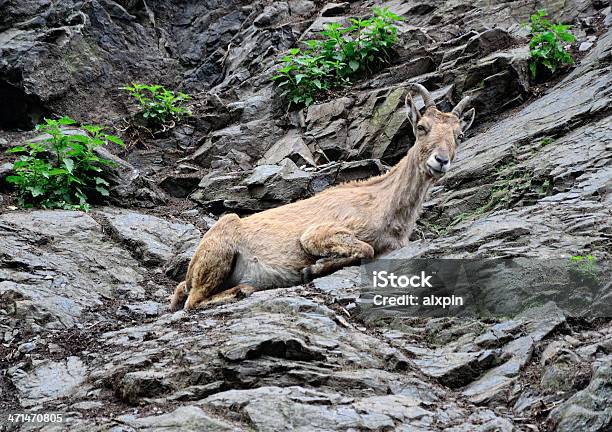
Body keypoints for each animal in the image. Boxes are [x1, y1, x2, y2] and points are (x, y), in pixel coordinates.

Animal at [170, 83, 476, 310]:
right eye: (421, 127)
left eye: (459, 134)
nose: (441, 161)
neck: (383, 203)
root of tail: (191, 271)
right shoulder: (318, 233)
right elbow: (365, 249)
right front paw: (312, 269)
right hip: (220, 250)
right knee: (192, 302)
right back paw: (241, 290)